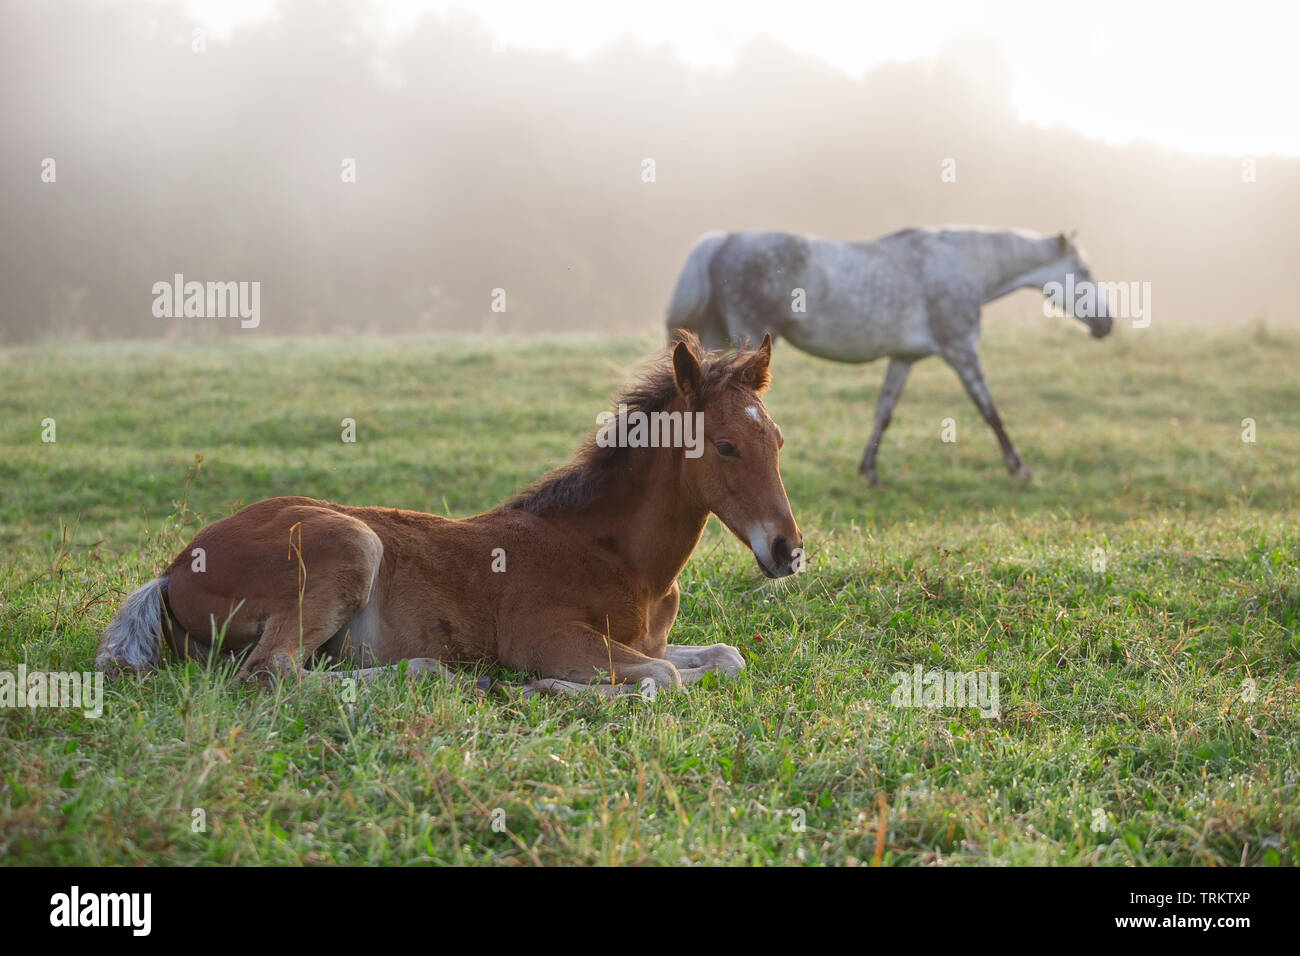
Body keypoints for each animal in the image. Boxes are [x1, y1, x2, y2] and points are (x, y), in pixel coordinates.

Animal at [96, 335, 800, 702]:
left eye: (778, 440)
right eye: (725, 446)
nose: (788, 550)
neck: (621, 559)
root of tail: (171, 569)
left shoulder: (646, 642)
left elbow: (723, 657)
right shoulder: (544, 637)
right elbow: (662, 679)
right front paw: (542, 688)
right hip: (350, 543)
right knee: (271, 673)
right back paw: (440, 675)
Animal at [665, 226, 1112, 486]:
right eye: (1084, 270)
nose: (1106, 324)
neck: (959, 265)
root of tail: (723, 240)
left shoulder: (903, 358)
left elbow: (884, 411)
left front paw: (869, 471)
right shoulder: (961, 350)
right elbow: (990, 410)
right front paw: (1020, 469)